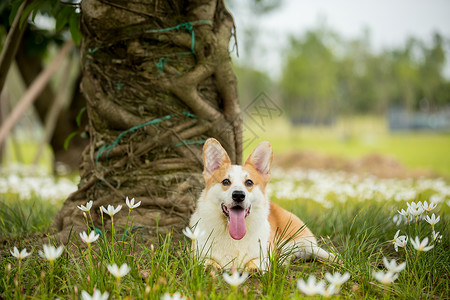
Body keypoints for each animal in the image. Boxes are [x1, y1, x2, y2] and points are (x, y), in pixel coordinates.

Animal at [190, 139, 334, 270]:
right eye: (225, 181)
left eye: (249, 182)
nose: (238, 195)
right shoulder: (197, 255)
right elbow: (207, 261)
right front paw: (212, 267)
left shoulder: (263, 254)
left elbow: (256, 261)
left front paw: (253, 268)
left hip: (306, 244)